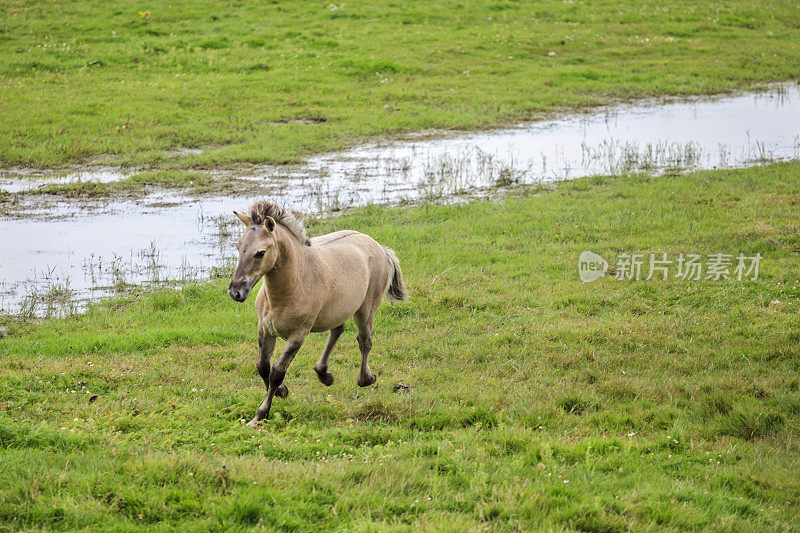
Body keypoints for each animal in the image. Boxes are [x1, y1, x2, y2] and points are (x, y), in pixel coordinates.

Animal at [228, 202, 410, 426]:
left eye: (260, 253)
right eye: (238, 246)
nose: (235, 291)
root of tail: (379, 247)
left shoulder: (298, 335)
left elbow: (277, 372)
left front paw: (260, 415)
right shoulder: (265, 329)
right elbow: (263, 366)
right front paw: (281, 391)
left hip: (366, 309)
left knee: (364, 341)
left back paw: (366, 379)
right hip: (338, 308)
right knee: (337, 330)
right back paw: (324, 374)